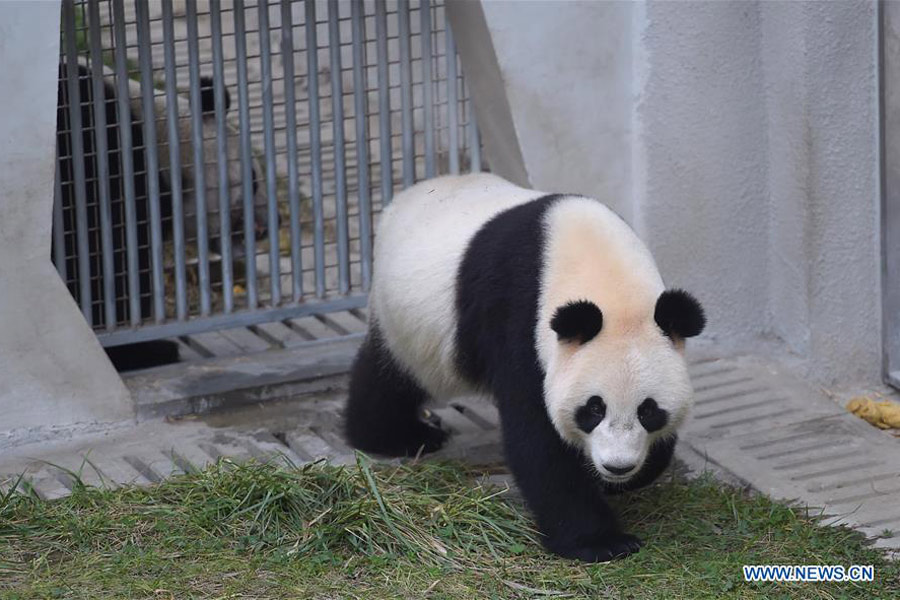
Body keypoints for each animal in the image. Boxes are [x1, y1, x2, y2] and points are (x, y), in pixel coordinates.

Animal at [344, 173, 704, 564]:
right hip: (409, 324)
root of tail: (403, 198)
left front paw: (622, 478)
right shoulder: (519, 320)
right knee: (390, 377)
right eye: (593, 408)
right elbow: (538, 439)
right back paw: (398, 435)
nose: (617, 466)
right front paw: (600, 541)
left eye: (648, 411)